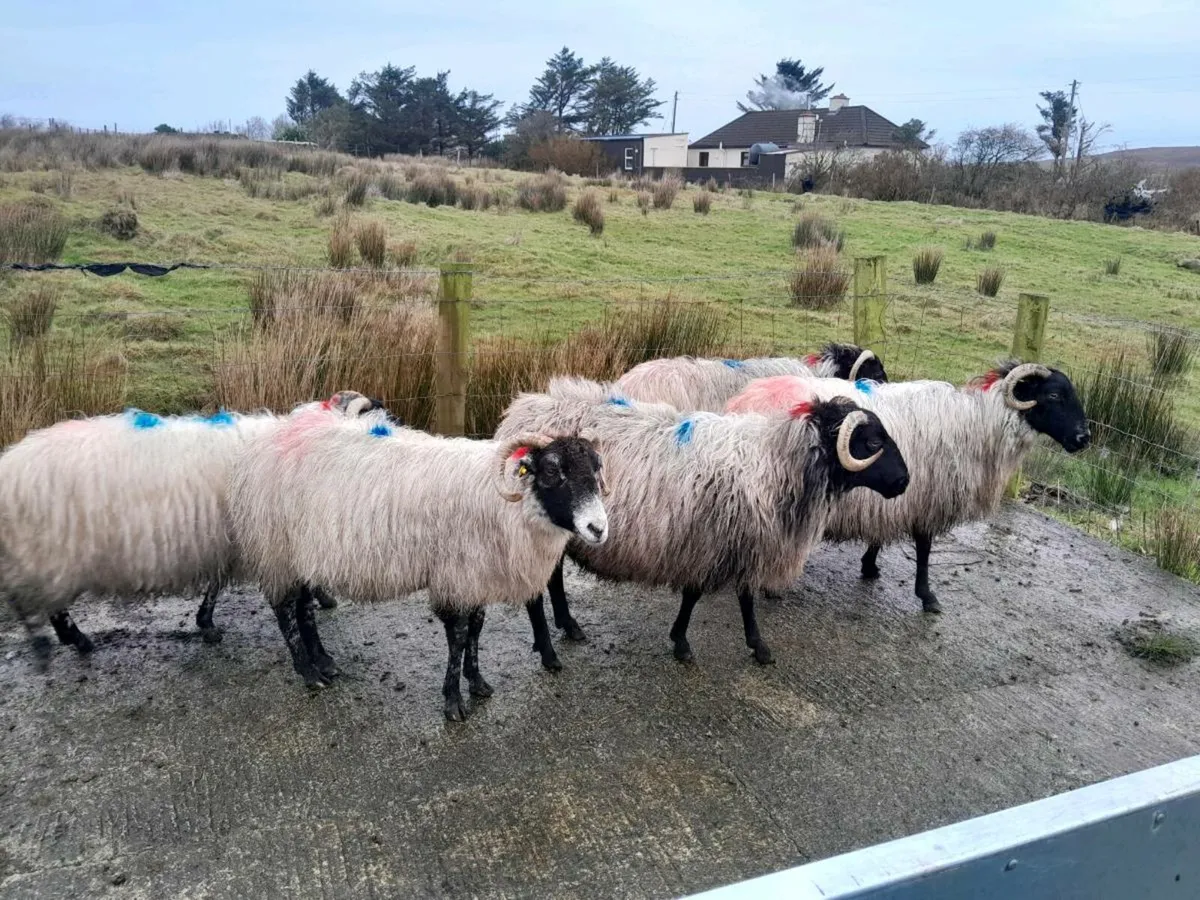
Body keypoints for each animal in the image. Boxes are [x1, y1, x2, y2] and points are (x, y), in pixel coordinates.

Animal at [0, 391, 383, 665]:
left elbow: (216, 583)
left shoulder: (231, 541)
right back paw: (71, 640)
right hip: (49, 550)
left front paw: (206, 623)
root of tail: (11, 464)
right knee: (39, 600)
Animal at [228, 407, 608, 721]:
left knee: (304, 608)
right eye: (552, 470)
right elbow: (458, 636)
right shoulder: (454, 576)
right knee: (285, 610)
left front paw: (477, 682)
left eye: (596, 469)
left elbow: (476, 628)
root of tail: (266, 440)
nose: (598, 529)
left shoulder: (474, 575)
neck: (502, 501)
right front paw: (453, 701)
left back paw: (324, 662)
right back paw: (308, 673)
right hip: (277, 550)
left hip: (303, 555)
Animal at [495, 377, 909, 667]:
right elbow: (701, 595)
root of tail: (523, 407)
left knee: (553, 578)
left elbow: (741, 595)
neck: (776, 463)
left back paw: (569, 625)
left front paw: (754, 645)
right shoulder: (711, 541)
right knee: (538, 587)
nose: (905, 481)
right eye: (873, 443)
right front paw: (687, 642)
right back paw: (550, 648)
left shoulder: (739, 541)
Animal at [724, 361, 1091, 612]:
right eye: (1054, 395)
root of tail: (743, 398)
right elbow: (925, 546)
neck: (977, 423)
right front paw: (927, 596)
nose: (1084, 439)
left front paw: (870, 565)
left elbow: (884, 536)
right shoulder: (925, 496)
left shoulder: (900, 495)